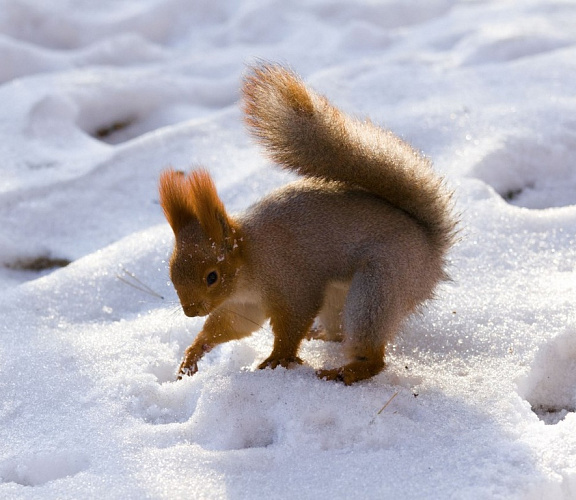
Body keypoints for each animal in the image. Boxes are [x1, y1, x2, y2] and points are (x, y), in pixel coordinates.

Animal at [158, 62, 454, 382]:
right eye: (171, 273)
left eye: (212, 276)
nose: (190, 311)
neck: (249, 260)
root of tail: (431, 245)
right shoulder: (244, 303)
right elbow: (232, 324)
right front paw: (192, 355)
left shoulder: (291, 280)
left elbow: (292, 322)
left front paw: (276, 359)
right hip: (339, 297)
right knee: (339, 334)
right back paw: (322, 336)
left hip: (383, 282)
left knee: (372, 354)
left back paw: (343, 372)